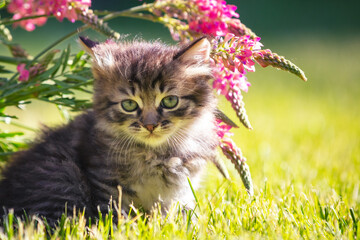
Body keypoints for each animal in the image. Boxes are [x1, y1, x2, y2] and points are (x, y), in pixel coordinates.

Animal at [0, 36, 217, 225]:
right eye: (129, 105)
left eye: (170, 101)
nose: (150, 125)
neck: (154, 153)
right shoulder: (105, 183)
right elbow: (113, 217)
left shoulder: (181, 192)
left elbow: (184, 216)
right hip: (63, 177)